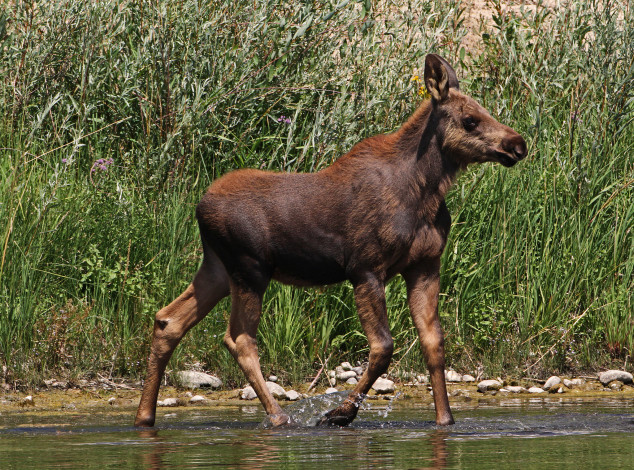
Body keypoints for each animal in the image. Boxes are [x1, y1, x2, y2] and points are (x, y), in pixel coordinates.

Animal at [132, 53, 524, 428]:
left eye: (486, 111)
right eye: (470, 120)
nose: (517, 144)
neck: (425, 191)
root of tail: (199, 207)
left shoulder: (425, 264)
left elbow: (433, 343)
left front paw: (445, 420)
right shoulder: (365, 267)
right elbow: (383, 347)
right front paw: (339, 413)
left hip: (217, 267)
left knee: (168, 320)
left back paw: (144, 416)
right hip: (249, 269)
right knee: (239, 338)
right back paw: (279, 417)